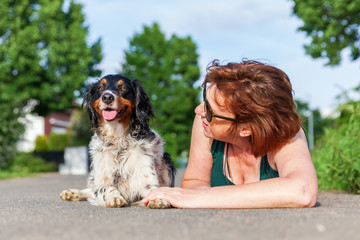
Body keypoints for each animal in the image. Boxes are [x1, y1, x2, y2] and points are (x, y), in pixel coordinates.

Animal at [60, 74, 176, 208]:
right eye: (100, 87)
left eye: (123, 88)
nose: (107, 97)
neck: (118, 138)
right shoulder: (102, 182)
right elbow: (107, 189)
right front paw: (114, 198)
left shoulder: (147, 179)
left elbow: (156, 190)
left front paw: (159, 199)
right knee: (90, 191)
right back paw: (71, 193)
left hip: (166, 161)